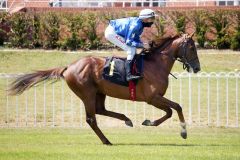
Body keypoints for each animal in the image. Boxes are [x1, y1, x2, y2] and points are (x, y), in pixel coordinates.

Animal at [8, 32, 201, 145]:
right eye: (192, 47)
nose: (198, 68)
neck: (155, 64)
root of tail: (68, 67)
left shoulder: (155, 98)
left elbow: (171, 110)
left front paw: (149, 122)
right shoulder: (152, 98)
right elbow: (175, 108)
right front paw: (183, 131)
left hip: (99, 92)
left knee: (100, 110)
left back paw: (126, 119)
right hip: (87, 93)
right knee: (91, 119)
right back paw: (106, 140)